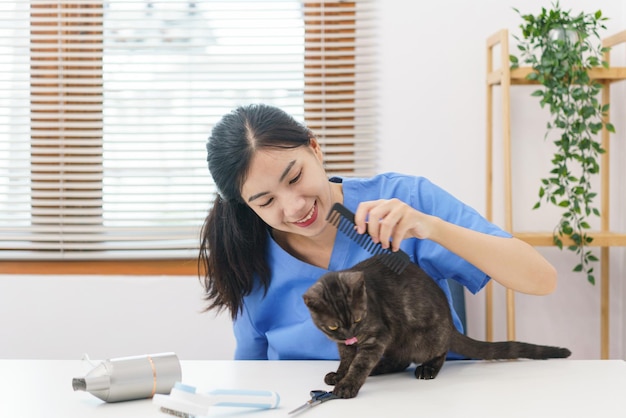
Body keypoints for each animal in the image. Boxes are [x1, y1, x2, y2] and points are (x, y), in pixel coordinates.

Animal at [302, 253, 572, 400]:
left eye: (358, 320)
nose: (351, 334)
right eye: (334, 327)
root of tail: (450, 324)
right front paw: (339, 374)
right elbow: (347, 359)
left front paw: (347, 385)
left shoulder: (377, 336)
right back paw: (379, 368)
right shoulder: (347, 344)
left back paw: (427, 368)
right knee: (399, 361)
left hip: (423, 338)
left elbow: (359, 364)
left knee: (438, 353)